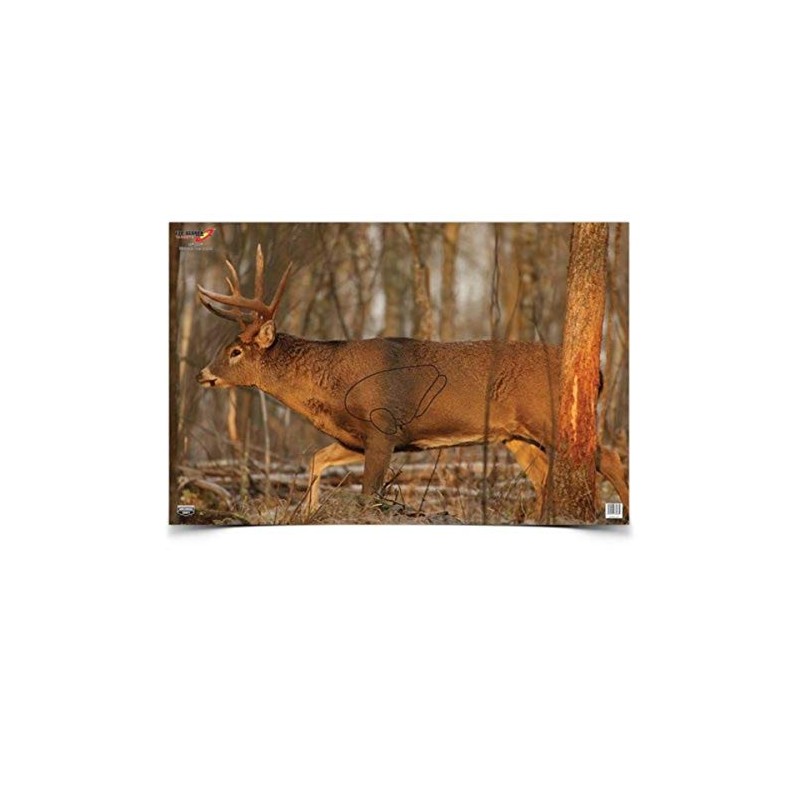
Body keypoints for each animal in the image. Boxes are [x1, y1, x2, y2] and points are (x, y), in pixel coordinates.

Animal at [196, 245, 629, 520]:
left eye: (235, 351)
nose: (202, 374)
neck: (331, 388)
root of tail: (598, 372)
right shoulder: (356, 437)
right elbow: (316, 459)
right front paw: (310, 512)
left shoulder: (383, 427)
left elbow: (369, 496)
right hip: (515, 435)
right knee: (543, 478)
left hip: (549, 417)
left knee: (608, 458)